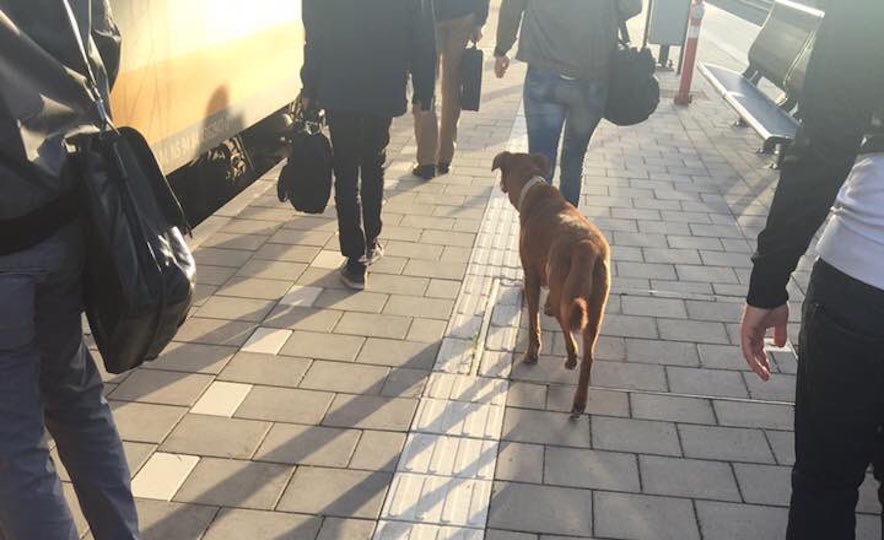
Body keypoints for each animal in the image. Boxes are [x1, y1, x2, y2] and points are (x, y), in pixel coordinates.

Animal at [493, 151, 611, 417]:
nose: (500, 186)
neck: (534, 187)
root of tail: (585, 246)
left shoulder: (531, 275)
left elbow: (533, 321)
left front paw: (533, 351)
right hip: (596, 309)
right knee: (589, 357)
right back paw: (579, 401)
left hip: (565, 298)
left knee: (570, 335)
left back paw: (568, 359)